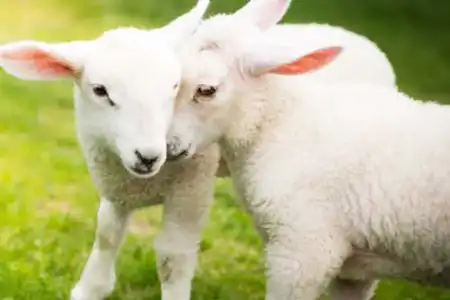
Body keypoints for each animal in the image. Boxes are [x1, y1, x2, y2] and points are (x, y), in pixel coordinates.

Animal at [0, 2, 221, 300]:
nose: (148, 156)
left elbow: (172, 258)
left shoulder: (192, 188)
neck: (145, 183)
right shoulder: (117, 189)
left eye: (175, 87)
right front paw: (91, 288)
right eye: (100, 90)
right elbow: (107, 233)